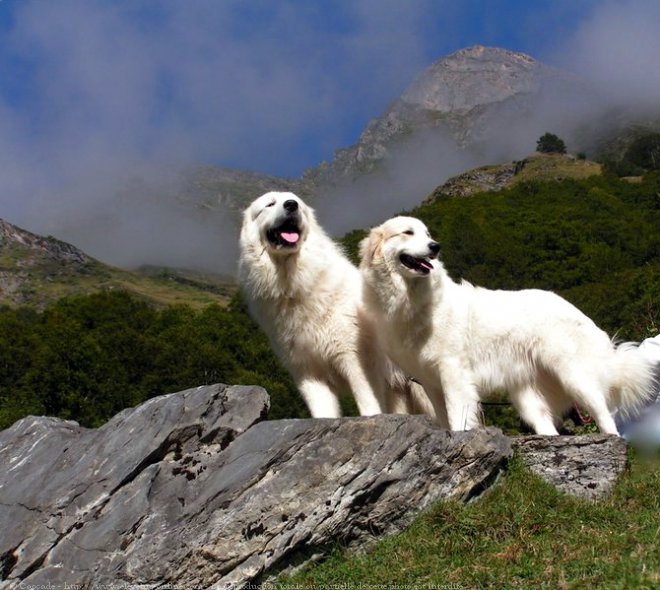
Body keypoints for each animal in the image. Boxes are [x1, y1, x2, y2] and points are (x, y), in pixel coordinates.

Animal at [360, 216, 656, 434]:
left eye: (426, 233)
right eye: (408, 233)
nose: (435, 246)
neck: (413, 299)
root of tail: (571, 307)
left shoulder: (453, 372)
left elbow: (457, 414)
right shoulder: (430, 381)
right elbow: (444, 416)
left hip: (574, 376)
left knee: (602, 413)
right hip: (528, 398)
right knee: (548, 427)